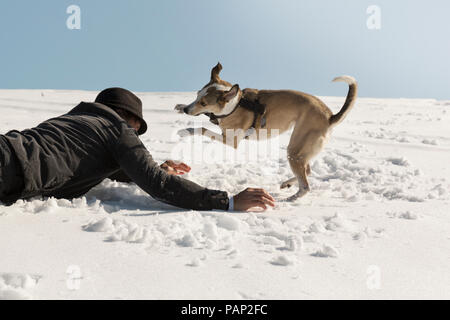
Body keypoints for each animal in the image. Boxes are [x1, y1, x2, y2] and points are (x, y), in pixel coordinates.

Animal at [174, 62, 356, 200]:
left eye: (204, 103)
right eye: (197, 94)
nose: (187, 110)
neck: (236, 105)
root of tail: (330, 116)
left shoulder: (231, 141)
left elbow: (202, 129)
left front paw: (186, 130)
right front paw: (180, 106)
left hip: (295, 149)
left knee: (305, 186)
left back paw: (289, 199)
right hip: (302, 150)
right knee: (308, 171)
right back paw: (287, 184)